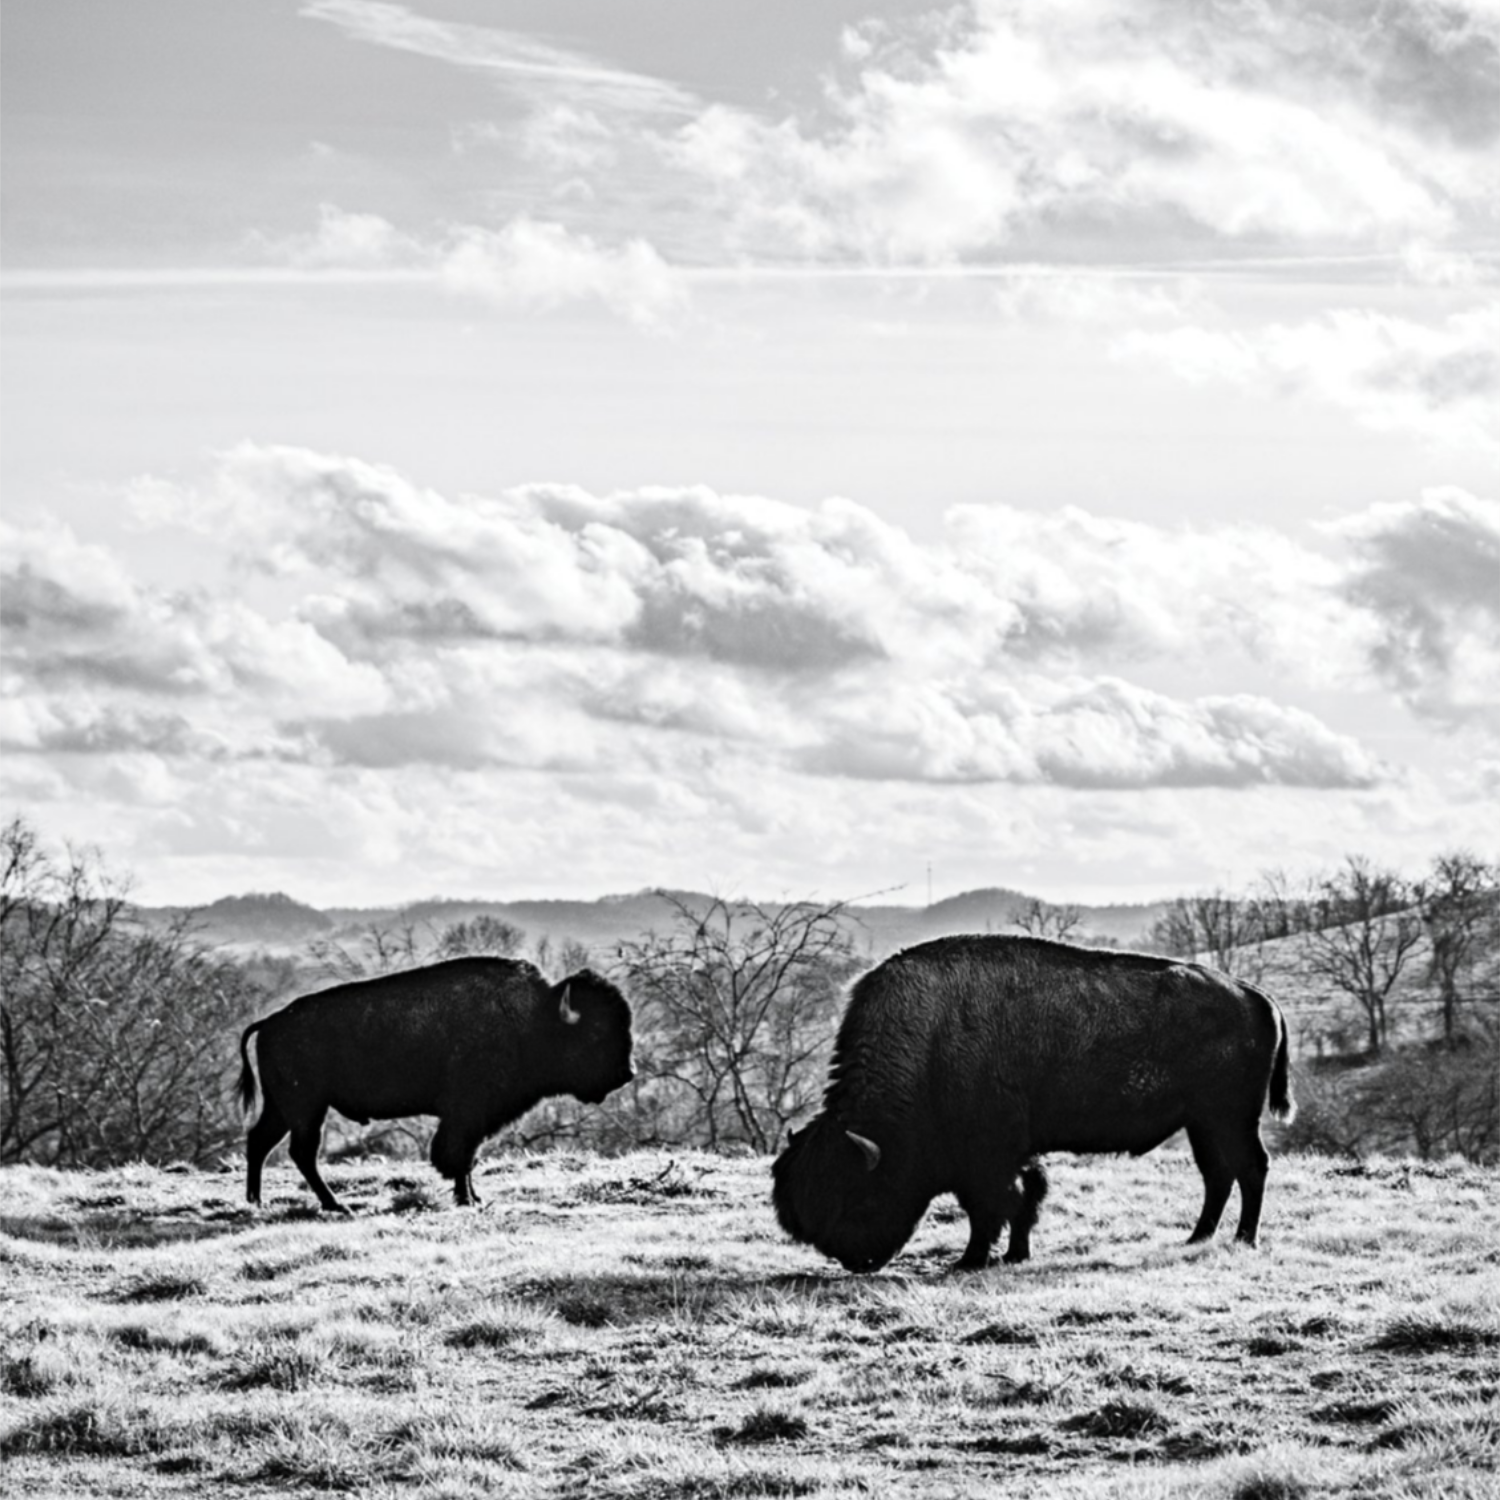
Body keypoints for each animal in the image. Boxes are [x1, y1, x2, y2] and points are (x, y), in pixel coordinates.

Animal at [235, 954, 633, 1212]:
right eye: (595, 1033)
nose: (627, 1073)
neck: (534, 1018)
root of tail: (269, 1022)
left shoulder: (475, 1120)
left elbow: (467, 1158)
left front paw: (473, 1197)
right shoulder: (466, 1115)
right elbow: (458, 1157)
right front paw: (466, 1199)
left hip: (283, 1108)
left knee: (260, 1141)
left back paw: (257, 1201)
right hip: (306, 1109)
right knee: (302, 1152)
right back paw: (335, 1206)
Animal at [774, 936, 1290, 1278]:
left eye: (857, 1196)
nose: (854, 1260)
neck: (929, 1045)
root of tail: (1253, 994)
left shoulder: (987, 1158)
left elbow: (993, 1206)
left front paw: (970, 1261)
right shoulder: (1017, 1151)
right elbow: (1028, 1195)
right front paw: (1015, 1254)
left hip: (1230, 1118)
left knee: (1251, 1168)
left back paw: (1244, 1239)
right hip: (1203, 1123)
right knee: (1217, 1174)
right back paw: (1197, 1237)